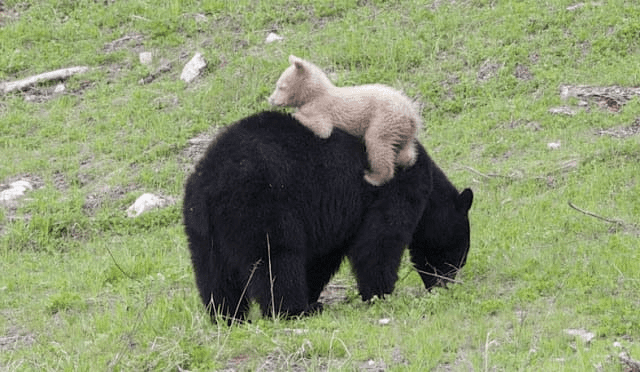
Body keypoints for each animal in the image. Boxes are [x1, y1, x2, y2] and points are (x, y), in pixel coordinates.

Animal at [182, 111, 472, 322]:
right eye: (458, 256)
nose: (446, 284)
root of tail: (211, 184)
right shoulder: (392, 190)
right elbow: (379, 242)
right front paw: (380, 294)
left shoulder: (333, 221)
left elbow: (322, 259)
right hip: (261, 209)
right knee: (276, 261)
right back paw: (294, 311)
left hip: (201, 229)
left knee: (214, 274)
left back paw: (227, 317)